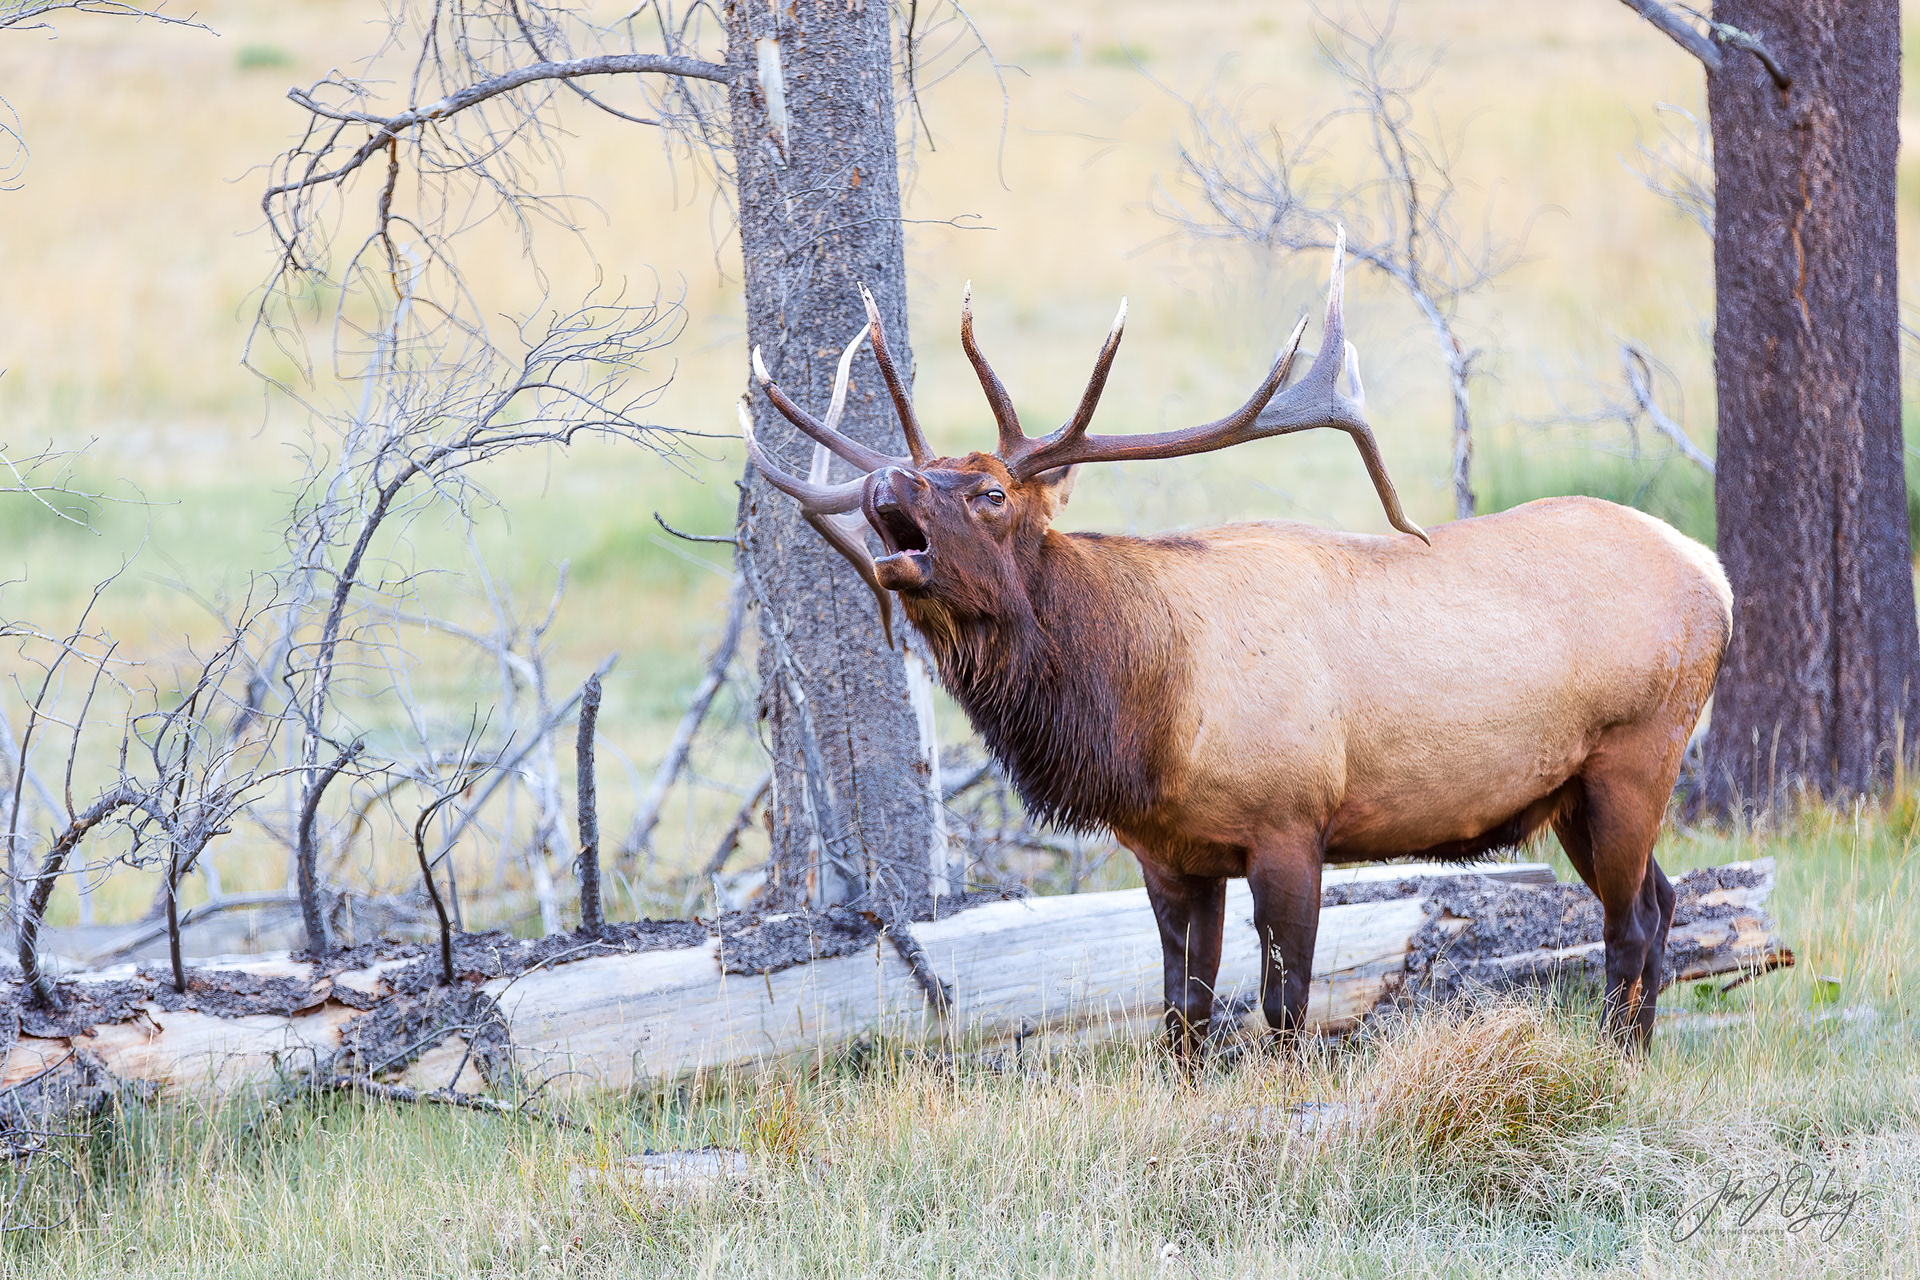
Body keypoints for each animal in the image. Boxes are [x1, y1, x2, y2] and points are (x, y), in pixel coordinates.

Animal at [739, 234, 1731, 1056]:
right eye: (929, 473)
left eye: (988, 493)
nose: (887, 479)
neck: (1147, 714)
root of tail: (1713, 574)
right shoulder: (1168, 853)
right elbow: (1183, 1009)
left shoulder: (1292, 822)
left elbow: (1284, 1006)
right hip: (1570, 791)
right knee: (1661, 898)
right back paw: (1637, 1048)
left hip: (1636, 753)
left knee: (1629, 921)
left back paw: (1615, 1058)